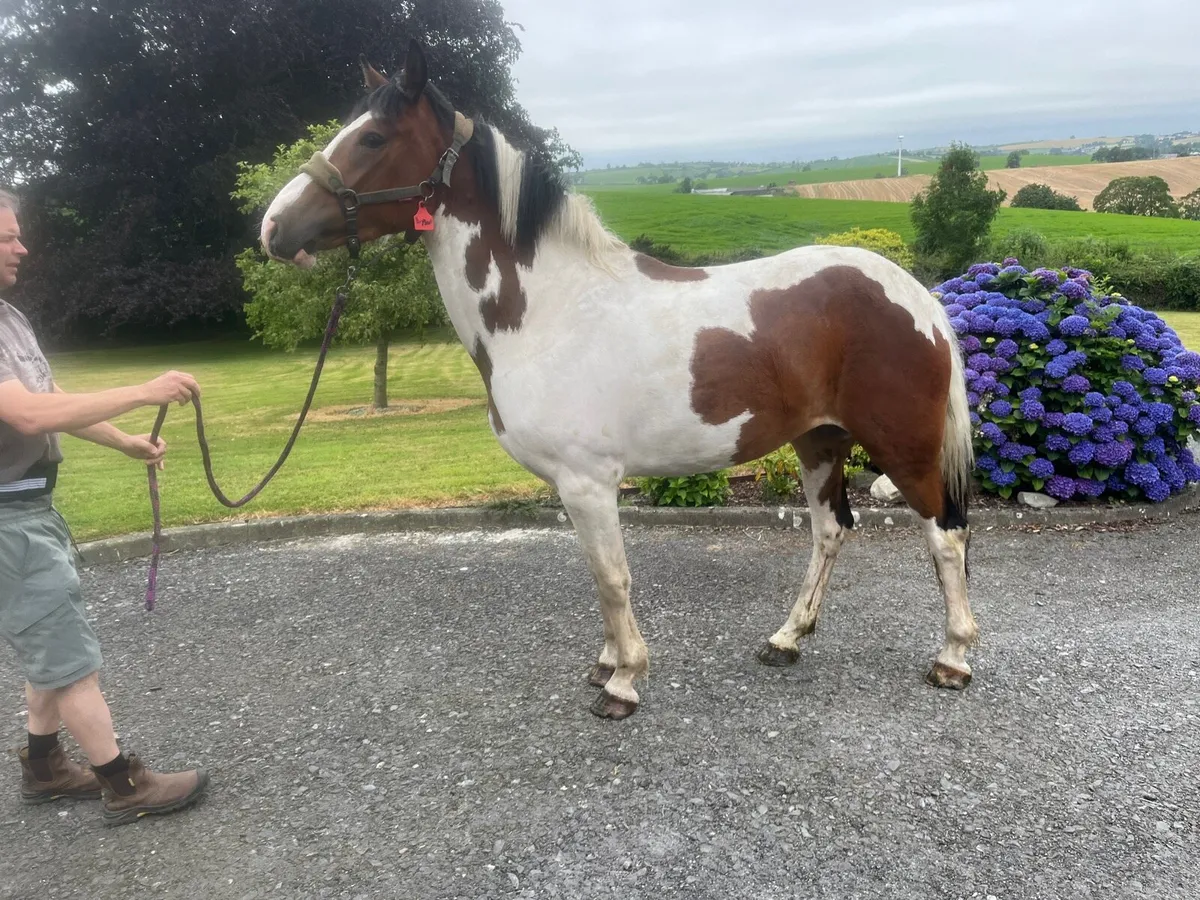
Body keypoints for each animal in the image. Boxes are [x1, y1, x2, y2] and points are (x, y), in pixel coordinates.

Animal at [259, 40, 979, 720]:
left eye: (373, 138)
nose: (273, 228)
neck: (548, 310)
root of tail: (917, 296)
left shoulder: (588, 481)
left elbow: (612, 578)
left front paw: (624, 682)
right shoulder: (573, 487)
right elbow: (598, 578)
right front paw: (606, 663)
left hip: (903, 448)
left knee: (945, 534)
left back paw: (953, 659)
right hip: (820, 441)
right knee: (831, 530)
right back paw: (786, 639)